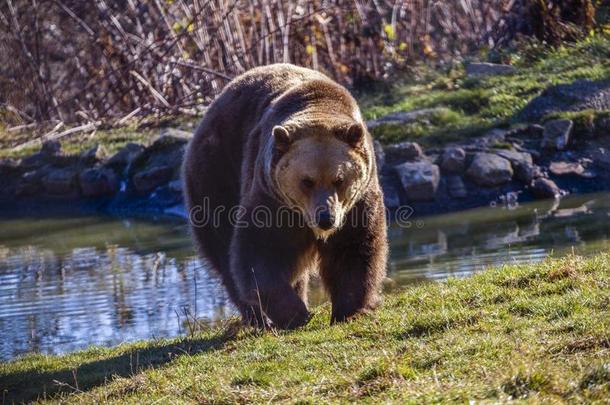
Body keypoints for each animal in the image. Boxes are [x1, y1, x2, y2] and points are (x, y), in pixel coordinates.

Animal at [182, 64, 384, 328]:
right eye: (306, 181)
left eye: (339, 179)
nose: (325, 218)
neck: (320, 105)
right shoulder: (271, 198)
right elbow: (260, 251)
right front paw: (294, 313)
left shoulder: (356, 204)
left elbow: (355, 249)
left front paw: (348, 309)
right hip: (216, 173)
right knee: (223, 248)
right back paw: (257, 318)